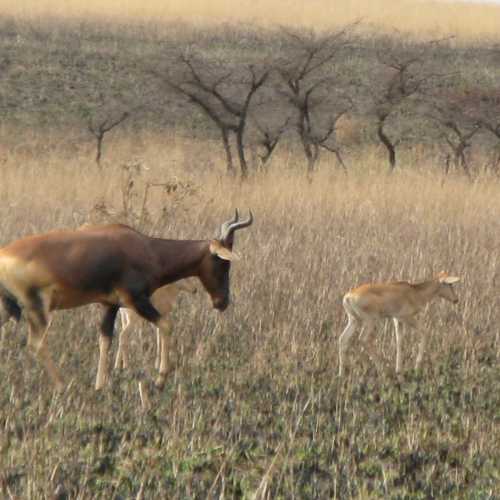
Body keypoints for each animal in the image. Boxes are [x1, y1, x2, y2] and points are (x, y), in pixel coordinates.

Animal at [0, 210, 252, 390]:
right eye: (223, 262)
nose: (222, 302)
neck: (146, 247)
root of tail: (5, 255)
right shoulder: (135, 300)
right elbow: (166, 325)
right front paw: (160, 379)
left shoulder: (110, 304)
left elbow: (105, 338)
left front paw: (100, 385)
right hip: (37, 308)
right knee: (36, 344)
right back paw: (63, 386)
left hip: (8, 307)